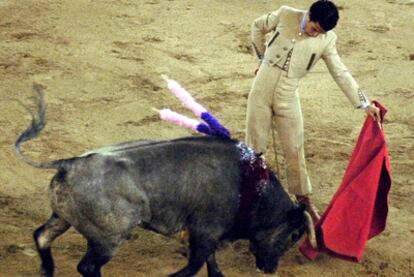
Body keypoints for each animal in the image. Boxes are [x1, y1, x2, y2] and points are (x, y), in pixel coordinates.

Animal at [14, 85, 316, 274]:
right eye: (293, 235)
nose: (270, 269)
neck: (252, 185)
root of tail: (70, 163)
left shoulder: (209, 237)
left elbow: (213, 269)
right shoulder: (205, 234)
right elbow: (194, 268)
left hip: (63, 217)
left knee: (42, 236)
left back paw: (47, 270)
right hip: (108, 238)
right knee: (87, 266)